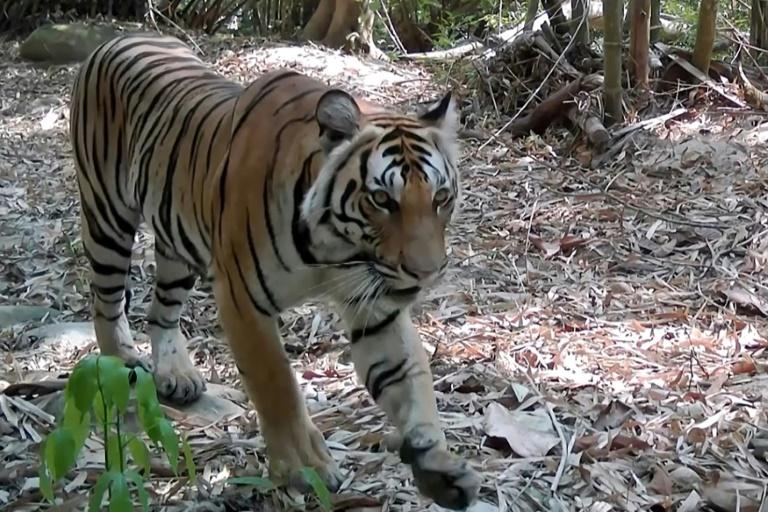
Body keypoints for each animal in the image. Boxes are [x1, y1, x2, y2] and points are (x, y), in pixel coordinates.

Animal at [68, 32, 480, 509]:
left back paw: (177, 375)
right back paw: (118, 370)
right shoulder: (243, 300)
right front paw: (303, 467)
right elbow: (277, 386)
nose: (426, 273)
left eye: (441, 198)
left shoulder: (376, 306)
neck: (334, 249)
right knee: (105, 300)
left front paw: (438, 465)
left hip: (176, 239)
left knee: (162, 309)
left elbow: (410, 379)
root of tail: (117, 36)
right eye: (382, 200)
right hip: (107, 217)